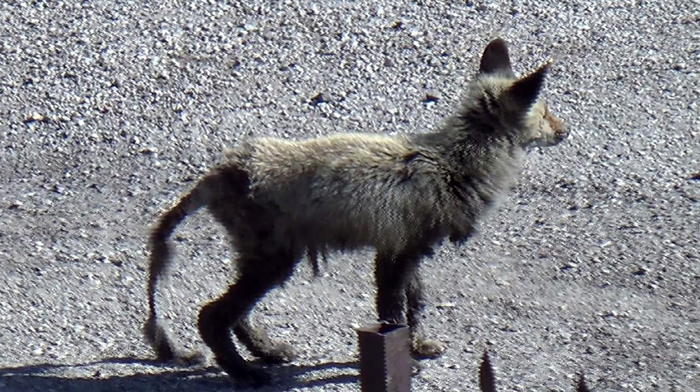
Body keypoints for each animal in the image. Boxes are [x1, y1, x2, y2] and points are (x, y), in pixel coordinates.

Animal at [144, 38, 568, 388]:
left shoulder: (402, 248)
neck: (452, 164)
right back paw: (245, 372)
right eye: (546, 112)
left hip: (261, 260)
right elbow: (393, 313)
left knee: (235, 314)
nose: (566, 132)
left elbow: (413, 306)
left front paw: (417, 345)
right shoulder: (400, 254)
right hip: (274, 261)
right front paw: (406, 360)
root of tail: (226, 167)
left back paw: (266, 350)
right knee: (212, 315)